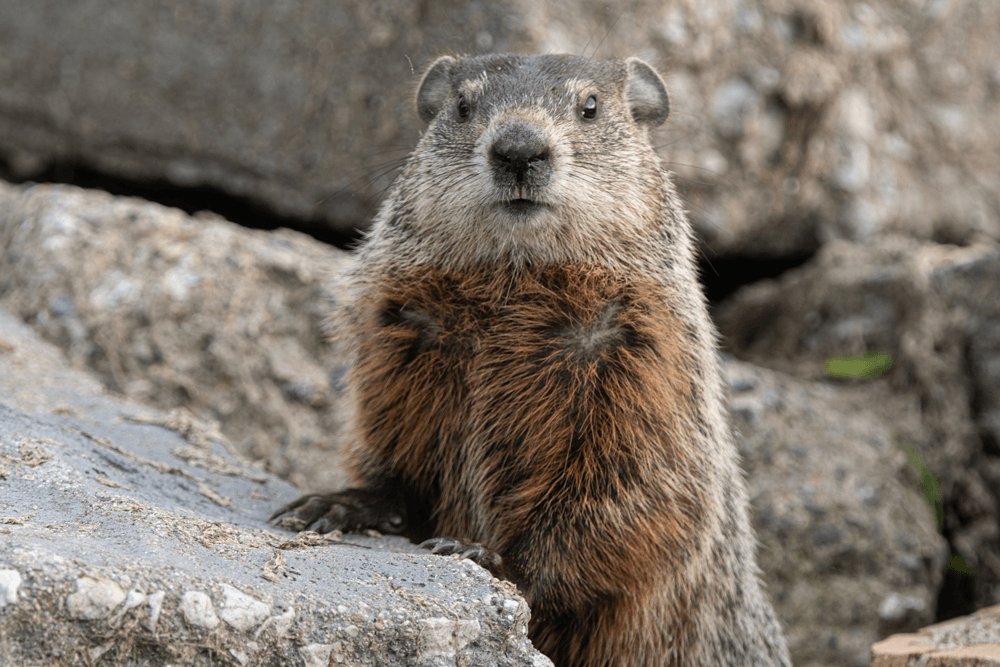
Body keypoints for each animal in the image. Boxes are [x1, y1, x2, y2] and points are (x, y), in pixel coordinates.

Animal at [271, 53, 790, 667]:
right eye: (462, 105)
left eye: (590, 106)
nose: (519, 148)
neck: (514, 280)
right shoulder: (397, 335)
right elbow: (395, 440)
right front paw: (337, 503)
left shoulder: (647, 358)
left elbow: (636, 483)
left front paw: (489, 557)